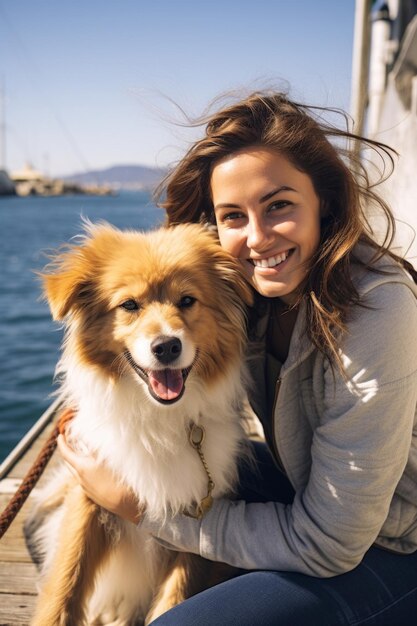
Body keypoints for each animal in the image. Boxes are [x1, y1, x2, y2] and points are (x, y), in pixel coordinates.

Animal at [26, 222, 254, 620]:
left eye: (187, 301)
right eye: (129, 305)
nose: (167, 346)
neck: (158, 418)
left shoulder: (196, 508)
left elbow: (174, 595)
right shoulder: (88, 494)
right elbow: (66, 583)